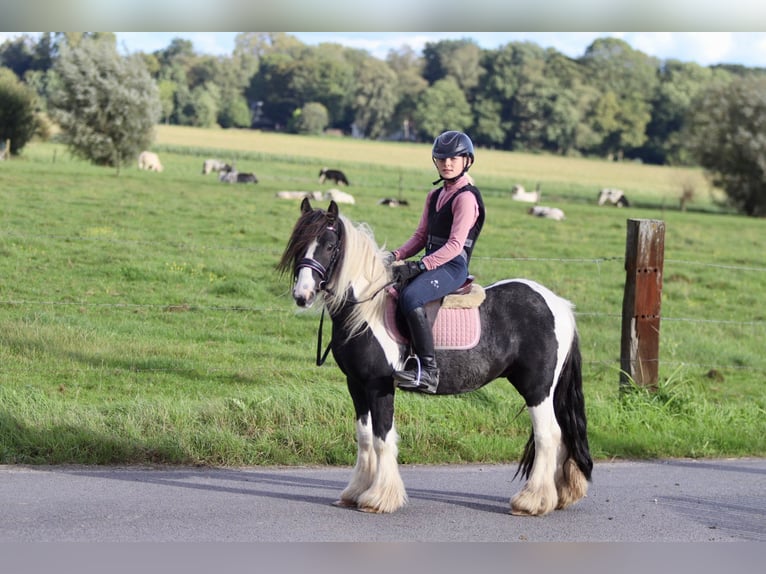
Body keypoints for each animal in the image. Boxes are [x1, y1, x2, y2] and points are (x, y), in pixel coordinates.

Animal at [278, 201, 592, 516]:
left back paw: (531, 501)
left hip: (537, 388)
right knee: (561, 435)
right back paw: (559, 496)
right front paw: (355, 492)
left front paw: (379, 498)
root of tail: (559, 304)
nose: (302, 295)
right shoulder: (356, 384)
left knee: (548, 436)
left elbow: (383, 439)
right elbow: (365, 438)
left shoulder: (379, 386)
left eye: (330, 246)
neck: (366, 311)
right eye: (299, 244)